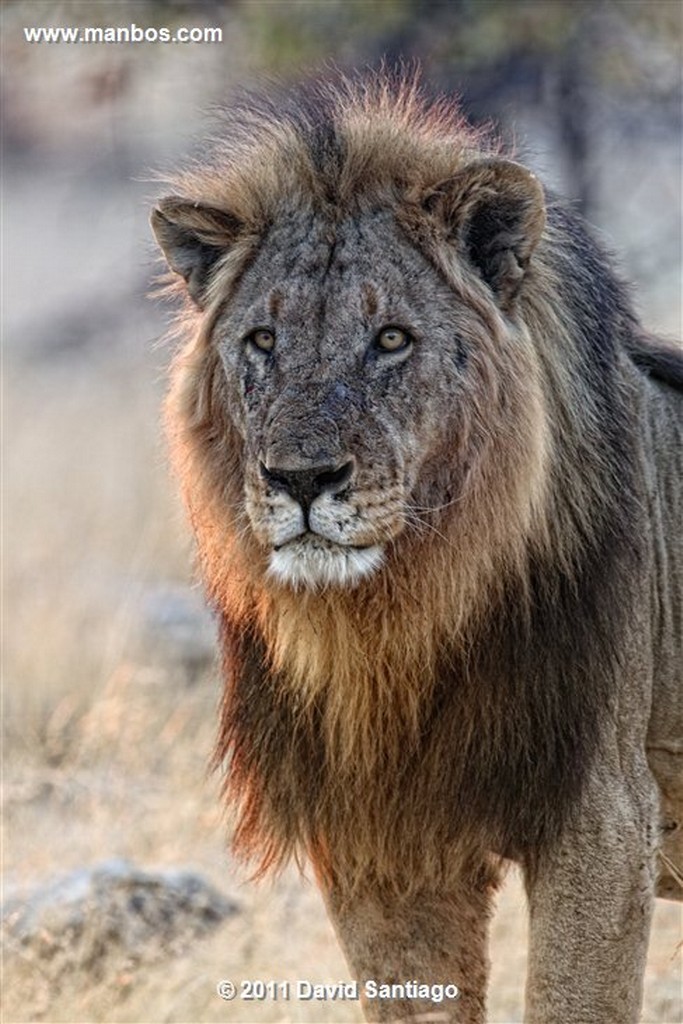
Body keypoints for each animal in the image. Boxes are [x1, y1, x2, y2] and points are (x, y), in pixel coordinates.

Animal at [152, 74, 679, 1024]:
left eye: (390, 339)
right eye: (262, 341)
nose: (302, 479)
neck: (396, 629)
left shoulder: (605, 819)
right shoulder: (383, 846)